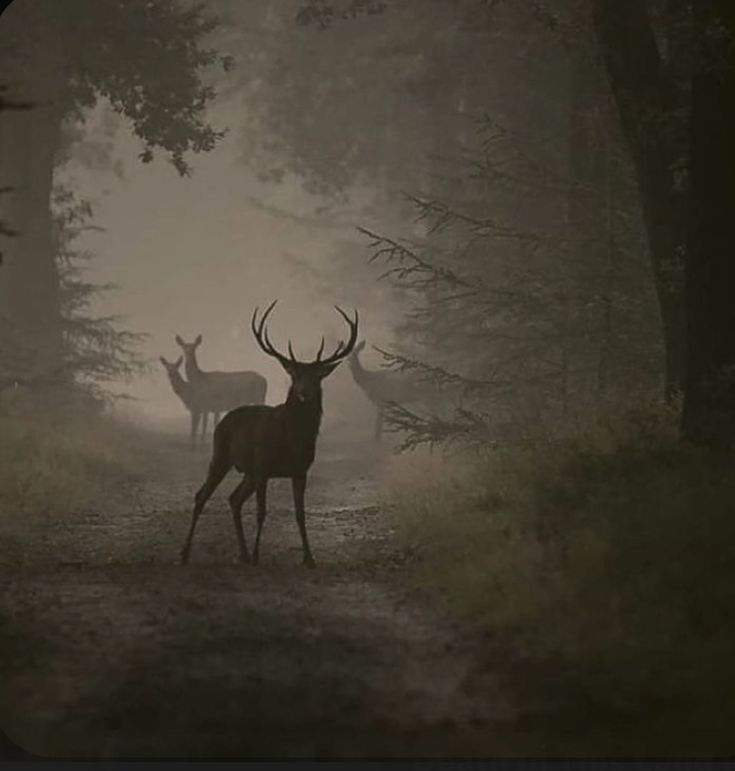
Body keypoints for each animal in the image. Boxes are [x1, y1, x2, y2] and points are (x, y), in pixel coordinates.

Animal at [181, 302, 360, 568]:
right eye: (294, 375)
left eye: (316, 376)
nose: (303, 392)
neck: (292, 438)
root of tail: (225, 419)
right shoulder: (264, 467)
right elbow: (261, 512)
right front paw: (258, 556)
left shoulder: (300, 471)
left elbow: (300, 514)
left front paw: (309, 557)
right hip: (222, 455)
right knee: (201, 495)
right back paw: (185, 554)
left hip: (248, 472)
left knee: (234, 499)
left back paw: (243, 553)